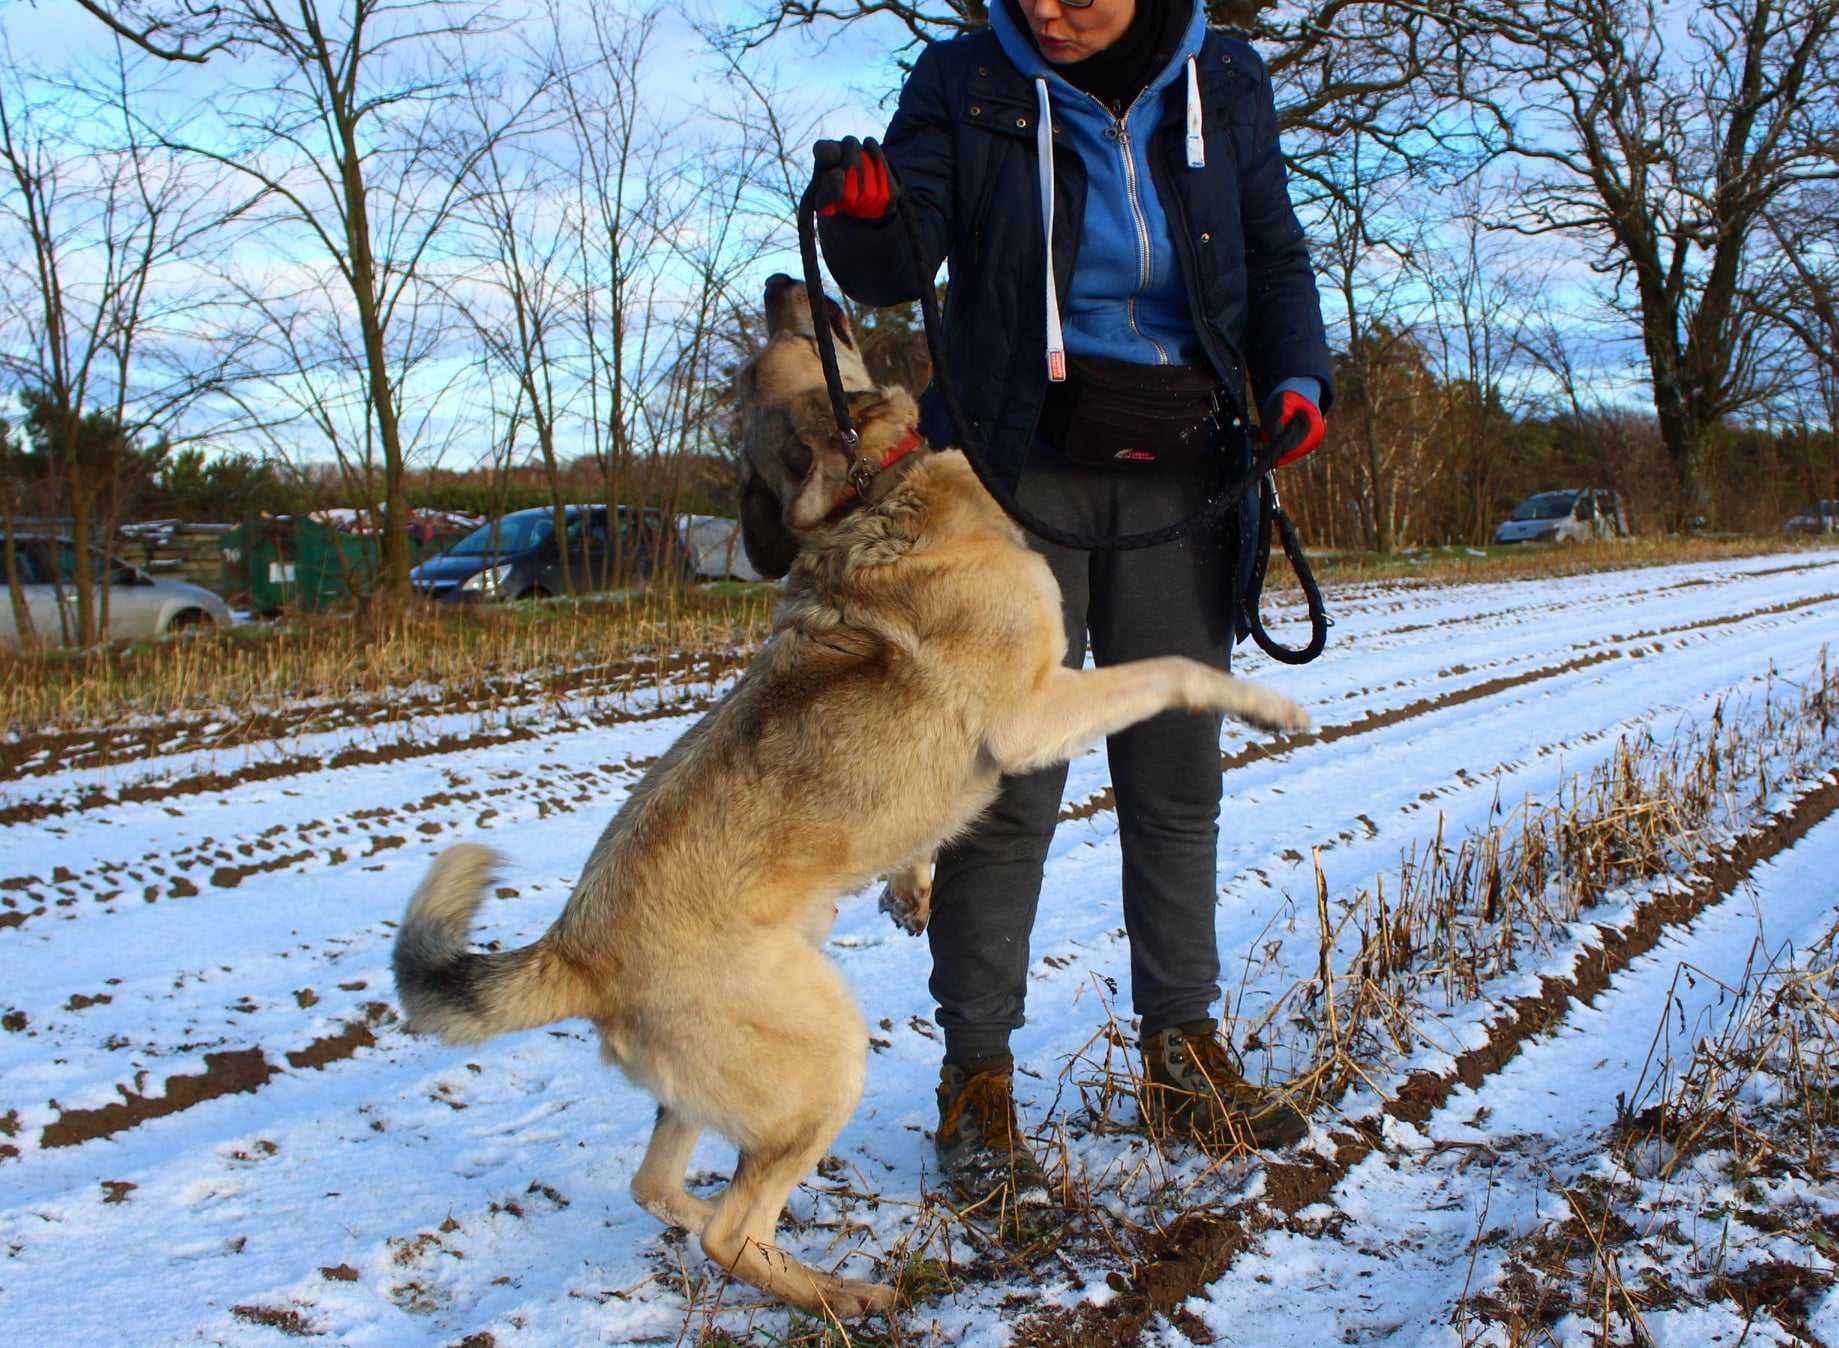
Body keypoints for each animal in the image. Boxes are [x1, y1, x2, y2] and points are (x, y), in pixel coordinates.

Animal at [391, 274, 1309, 1316]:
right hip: (828, 1056)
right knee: (731, 1228)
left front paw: (911, 888)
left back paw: (762, 1238)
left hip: (721, 1088)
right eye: (777, 351)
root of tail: (576, 950)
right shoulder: (1038, 712)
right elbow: (1171, 670)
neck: (876, 488)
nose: (779, 281)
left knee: (661, 1187)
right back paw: (848, 1298)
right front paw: (1268, 703)